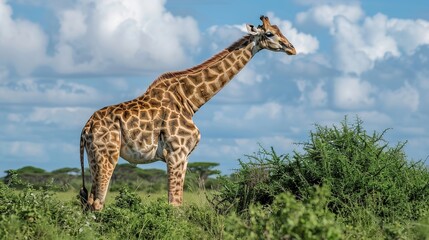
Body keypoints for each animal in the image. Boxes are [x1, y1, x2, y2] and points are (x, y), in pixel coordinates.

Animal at [79, 15, 294, 210]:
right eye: (270, 33)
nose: (292, 48)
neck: (190, 101)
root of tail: (86, 128)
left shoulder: (184, 156)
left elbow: (178, 202)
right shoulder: (176, 152)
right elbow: (174, 204)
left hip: (93, 158)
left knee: (88, 202)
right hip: (108, 155)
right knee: (97, 202)